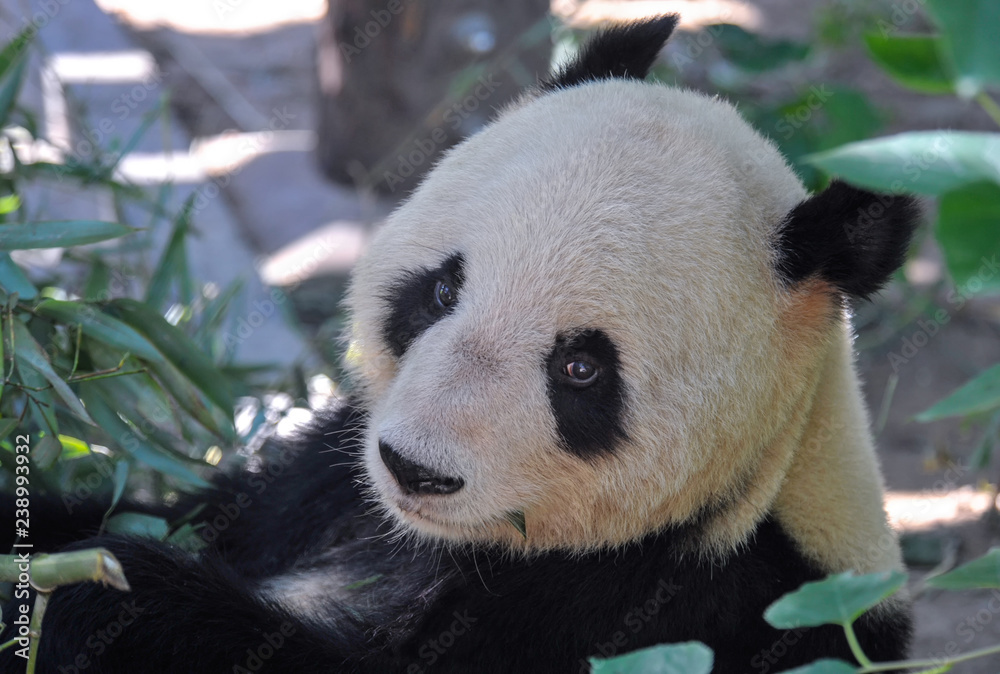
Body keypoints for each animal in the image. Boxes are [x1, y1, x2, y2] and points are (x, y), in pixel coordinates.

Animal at [4, 14, 919, 674]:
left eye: (580, 368)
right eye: (443, 291)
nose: (415, 469)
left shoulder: (679, 610)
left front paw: (97, 602)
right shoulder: (324, 484)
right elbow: (188, 511)